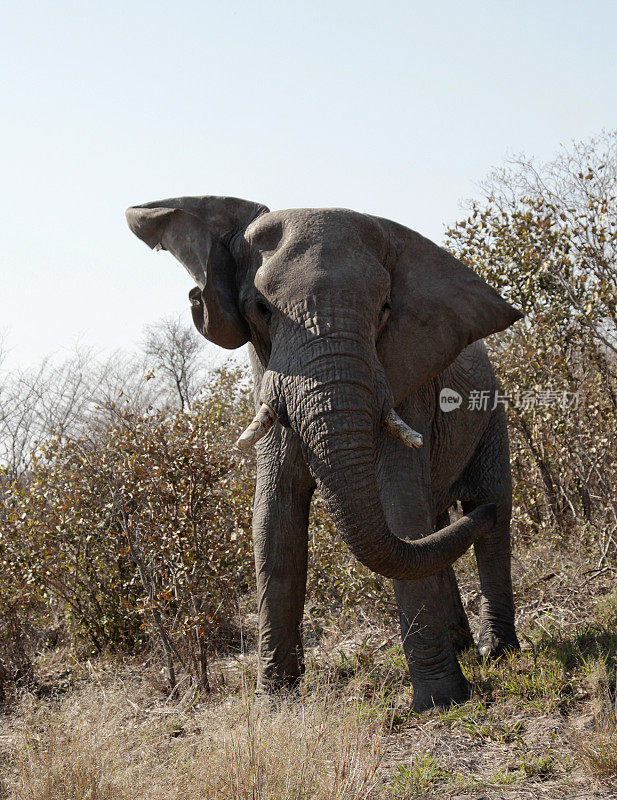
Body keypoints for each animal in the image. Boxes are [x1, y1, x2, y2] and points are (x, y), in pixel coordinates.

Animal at [127, 197, 524, 708]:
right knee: (437, 525)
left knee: (487, 513)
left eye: (384, 309)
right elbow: (273, 520)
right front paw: (275, 703)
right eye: (262, 309)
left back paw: (498, 651)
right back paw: (465, 647)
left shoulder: (404, 384)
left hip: (492, 414)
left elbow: (398, 508)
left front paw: (442, 703)